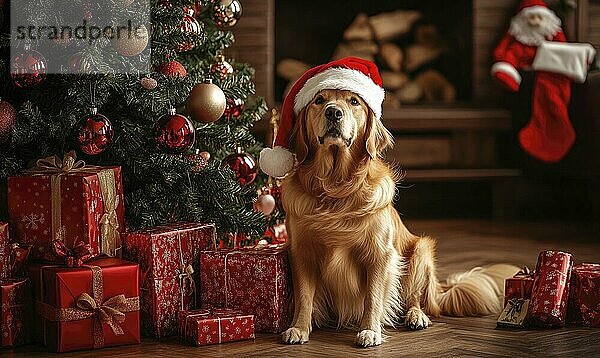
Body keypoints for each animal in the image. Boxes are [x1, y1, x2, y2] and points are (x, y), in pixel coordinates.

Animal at [278, 89, 516, 346]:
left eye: (354, 101)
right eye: (319, 101)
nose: (333, 112)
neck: (336, 190)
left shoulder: (379, 253)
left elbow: (373, 296)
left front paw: (370, 330)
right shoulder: (301, 251)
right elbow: (304, 295)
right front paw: (299, 328)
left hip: (420, 251)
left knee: (415, 299)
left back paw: (416, 316)